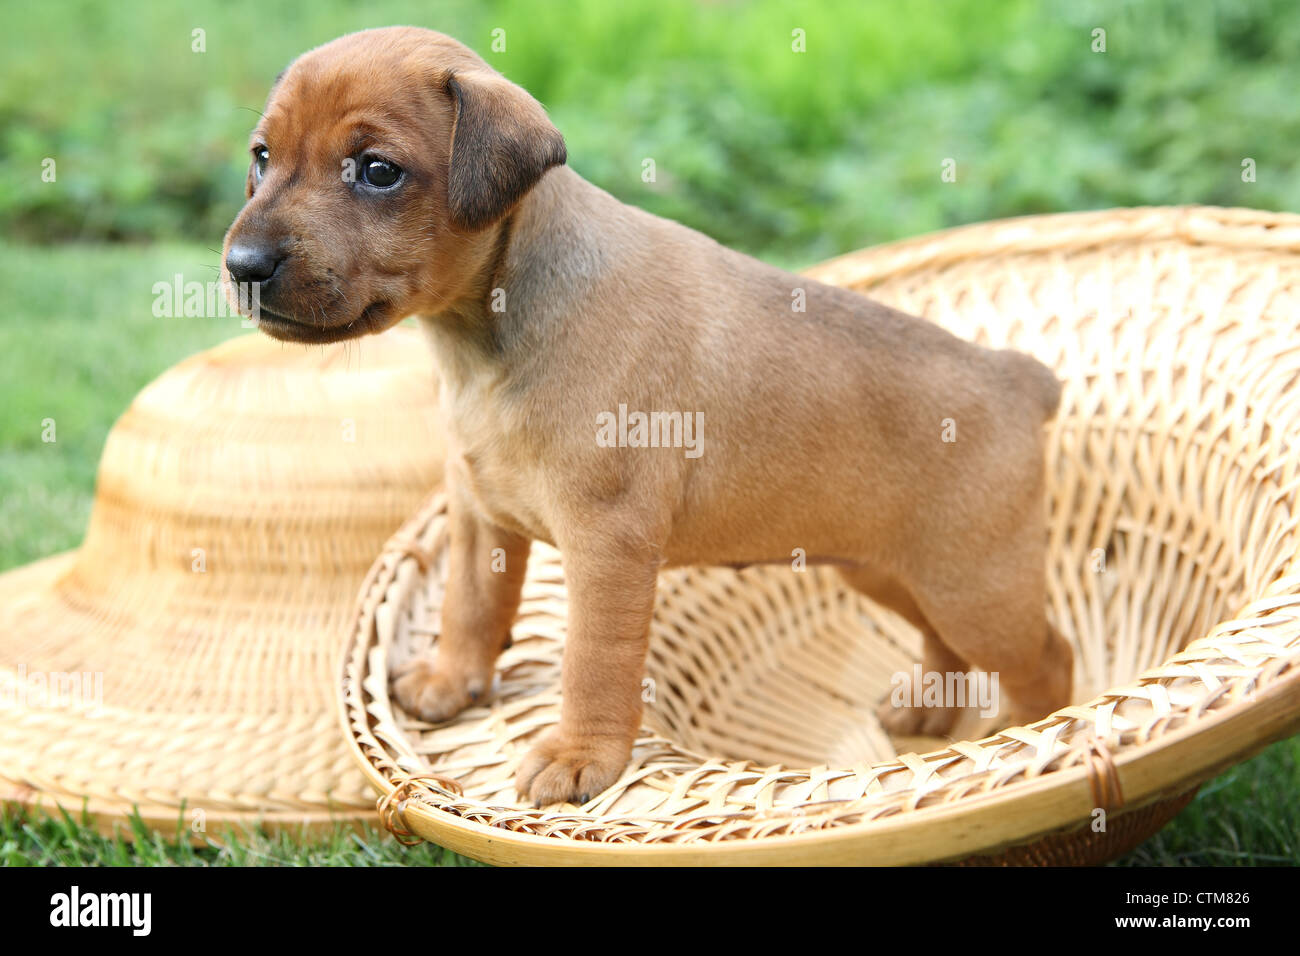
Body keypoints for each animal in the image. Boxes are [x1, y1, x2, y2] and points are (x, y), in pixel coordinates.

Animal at [226, 27, 1076, 806]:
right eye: (262, 158)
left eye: (378, 172)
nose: (241, 267)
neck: (484, 337)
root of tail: (1018, 377)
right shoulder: (480, 516)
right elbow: (470, 604)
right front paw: (451, 678)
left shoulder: (607, 548)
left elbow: (592, 662)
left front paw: (580, 757)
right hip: (886, 568)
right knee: (943, 642)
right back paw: (931, 711)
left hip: (976, 585)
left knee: (1047, 659)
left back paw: (1023, 739)